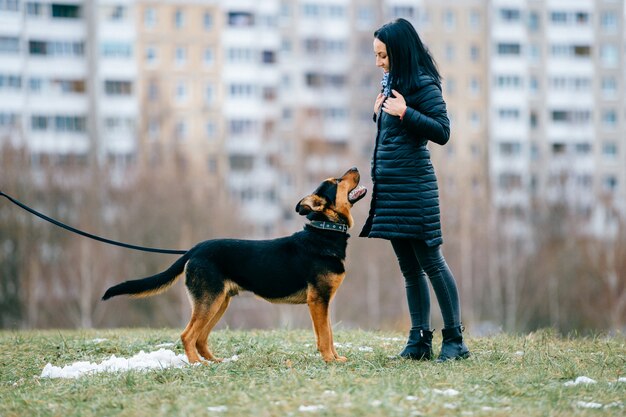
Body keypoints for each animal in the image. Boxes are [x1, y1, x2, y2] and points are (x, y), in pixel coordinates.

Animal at [102, 167, 366, 362]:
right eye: (337, 181)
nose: (355, 167)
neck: (324, 231)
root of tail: (194, 250)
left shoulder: (324, 301)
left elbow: (329, 333)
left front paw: (337, 358)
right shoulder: (318, 300)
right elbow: (324, 336)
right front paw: (329, 360)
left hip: (219, 302)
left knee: (200, 338)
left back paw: (214, 362)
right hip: (209, 301)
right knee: (188, 335)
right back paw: (196, 365)